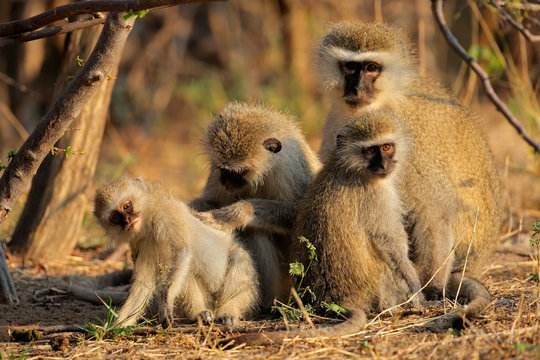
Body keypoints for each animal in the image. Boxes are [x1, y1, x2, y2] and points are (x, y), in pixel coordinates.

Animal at [93, 176, 260, 328]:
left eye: (127, 205)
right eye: (116, 216)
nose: (127, 221)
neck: (148, 223)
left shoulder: (166, 215)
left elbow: (182, 252)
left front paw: (165, 303)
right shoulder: (139, 242)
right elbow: (144, 283)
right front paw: (118, 326)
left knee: (237, 256)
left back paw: (228, 312)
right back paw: (199, 312)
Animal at [190, 101, 320, 306]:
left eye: (237, 172)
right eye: (221, 168)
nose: (224, 182)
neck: (266, 169)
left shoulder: (289, 170)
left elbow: (297, 214)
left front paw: (233, 215)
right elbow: (211, 201)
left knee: (254, 229)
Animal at [316, 20, 502, 320]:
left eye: (372, 68)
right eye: (350, 67)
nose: (357, 89)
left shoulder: (409, 137)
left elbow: (433, 211)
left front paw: (431, 288)